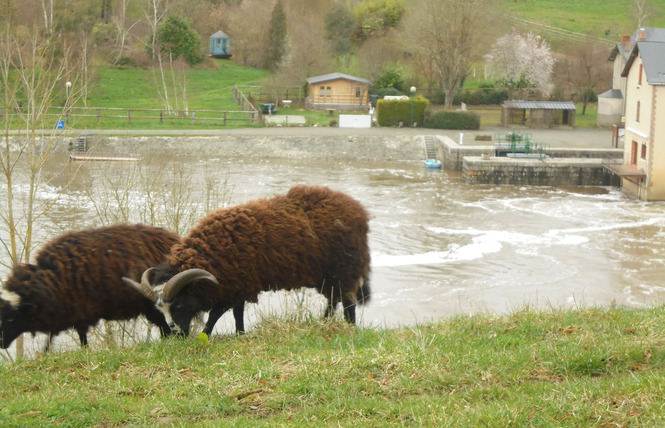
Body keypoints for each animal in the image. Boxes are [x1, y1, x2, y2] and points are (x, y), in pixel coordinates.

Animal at [0, 224, 180, 348]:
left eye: (10, 317)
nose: (1, 343)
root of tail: (176, 239)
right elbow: (50, 342)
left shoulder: (82, 312)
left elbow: (82, 341)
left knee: (167, 328)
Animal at [127, 186, 370, 336]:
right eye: (160, 310)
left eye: (178, 305)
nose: (177, 335)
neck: (210, 253)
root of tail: (359, 212)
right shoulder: (236, 284)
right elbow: (237, 313)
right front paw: (239, 333)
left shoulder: (236, 285)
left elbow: (217, 314)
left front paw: (206, 334)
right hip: (327, 276)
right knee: (333, 300)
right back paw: (325, 323)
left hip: (344, 270)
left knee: (348, 303)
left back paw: (349, 327)